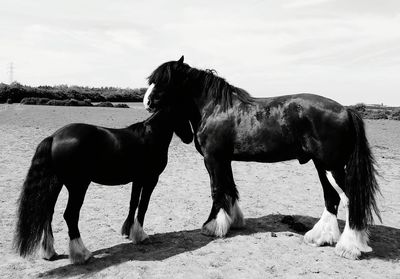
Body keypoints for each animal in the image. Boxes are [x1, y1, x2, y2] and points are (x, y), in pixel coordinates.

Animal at [14, 109, 192, 264]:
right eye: (183, 112)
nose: (190, 137)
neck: (150, 135)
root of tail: (54, 137)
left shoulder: (137, 180)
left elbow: (133, 203)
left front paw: (128, 231)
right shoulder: (151, 179)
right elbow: (143, 206)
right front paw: (141, 236)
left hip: (56, 184)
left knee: (48, 212)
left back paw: (49, 251)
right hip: (78, 187)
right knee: (70, 215)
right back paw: (82, 254)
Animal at [144, 56, 382, 260]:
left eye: (164, 80)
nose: (147, 101)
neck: (214, 109)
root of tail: (346, 110)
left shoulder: (213, 159)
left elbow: (217, 190)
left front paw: (212, 226)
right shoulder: (225, 160)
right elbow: (230, 188)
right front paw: (233, 221)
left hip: (331, 165)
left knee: (350, 198)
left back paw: (349, 247)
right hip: (321, 165)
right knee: (332, 198)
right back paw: (320, 237)